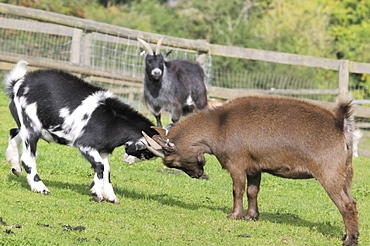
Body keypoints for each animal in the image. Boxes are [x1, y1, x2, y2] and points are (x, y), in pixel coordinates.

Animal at [5, 60, 157, 204]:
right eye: (145, 153)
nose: (127, 160)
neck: (113, 118)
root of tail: (17, 84)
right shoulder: (85, 144)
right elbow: (100, 166)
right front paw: (97, 194)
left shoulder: (103, 150)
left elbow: (106, 169)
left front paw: (111, 197)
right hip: (31, 127)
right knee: (27, 158)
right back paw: (40, 188)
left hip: (30, 127)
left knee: (14, 132)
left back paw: (15, 167)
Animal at [144, 96, 358, 246]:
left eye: (171, 161)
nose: (197, 175)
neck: (218, 126)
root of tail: (340, 125)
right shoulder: (255, 166)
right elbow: (252, 191)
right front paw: (251, 216)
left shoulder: (236, 163)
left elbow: (237, 189)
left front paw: (234, 215)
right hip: (346, 173)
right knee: (352, 201)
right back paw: (346, 235)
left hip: (329, 173)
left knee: (346, 205)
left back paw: (350, 240)